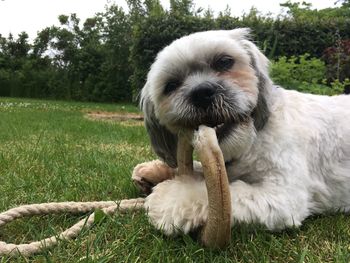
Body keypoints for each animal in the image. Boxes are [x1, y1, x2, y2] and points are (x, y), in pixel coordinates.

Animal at [132, 28, 350, 235]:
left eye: (224, 62)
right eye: (171, 85)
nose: (201, 92)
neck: (252, 141)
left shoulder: (283, 195)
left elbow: (226, 191)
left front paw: (170, 197)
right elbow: (199, 169)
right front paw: (156, 171)